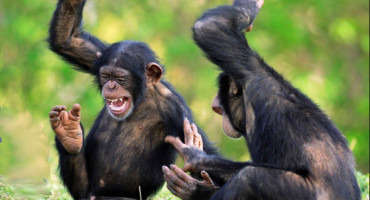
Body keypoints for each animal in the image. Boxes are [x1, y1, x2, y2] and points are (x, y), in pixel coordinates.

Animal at [47, 0, 218, 199]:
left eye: (120, 78)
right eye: (105, 76)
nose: (110, 86)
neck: (141, 99)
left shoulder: (176, 110)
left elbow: (204, 155)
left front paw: (196, 188)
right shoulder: (97, 55)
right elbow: (68, 41)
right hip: (85, 192)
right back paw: (70, 135)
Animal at [162, 0, 362, 200]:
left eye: (220, 103)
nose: (215, 104)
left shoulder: (251, 74)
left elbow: (212, 28)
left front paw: (197, 160)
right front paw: (199, 188)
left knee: (248, 178)